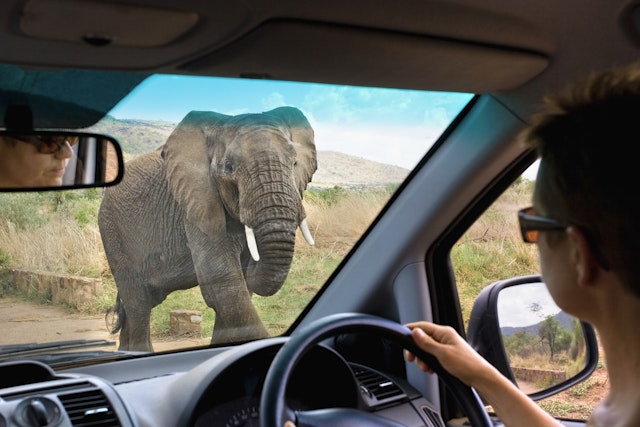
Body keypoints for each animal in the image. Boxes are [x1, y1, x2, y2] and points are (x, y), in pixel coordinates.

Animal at [98, 106, 317, 352]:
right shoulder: (196, 203)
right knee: (138, 304)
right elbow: (223, 282)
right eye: (229, 167)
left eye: (295, 163)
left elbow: (237, 290)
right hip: (112, 230)